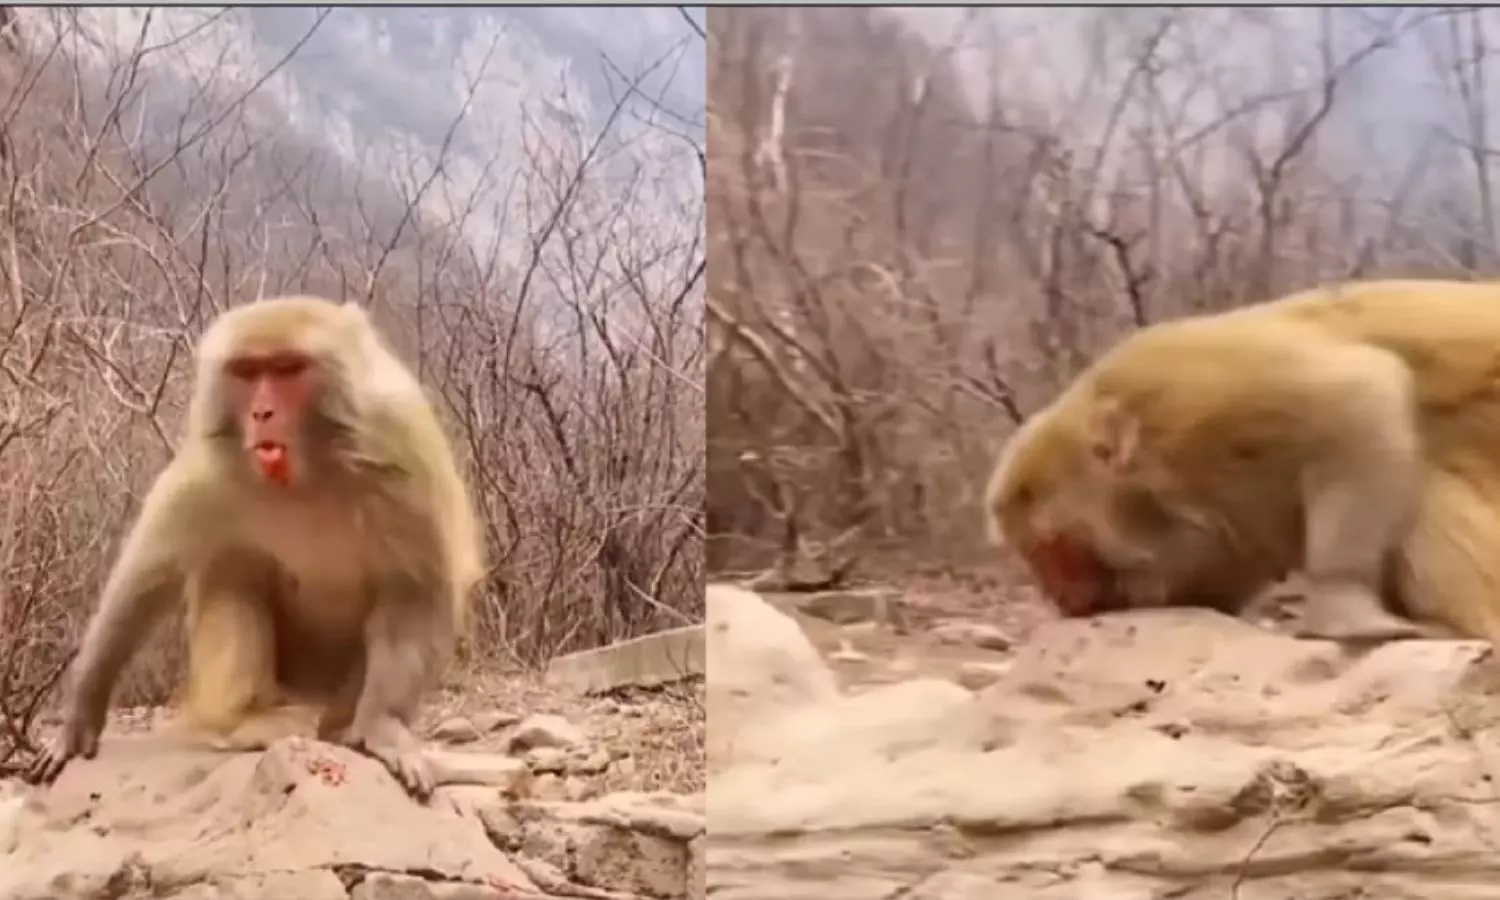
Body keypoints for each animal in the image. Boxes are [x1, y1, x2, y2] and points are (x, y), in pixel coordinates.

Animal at [24, 295, 486, 799]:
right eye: (248, 372)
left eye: (286, 369)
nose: (261, 413)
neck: (309, 469)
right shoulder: (212, 468)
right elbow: (147, 575)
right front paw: (78, 720)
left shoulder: (402, 448)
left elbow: (414, 588)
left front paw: (385, 728)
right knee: (231, 567)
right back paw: (246, 720)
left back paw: (345, 730)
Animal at [983, 278, 1500, 644]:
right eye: (1036, 557)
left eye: (1057, 552)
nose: (1061, 598)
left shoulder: (1192, 395)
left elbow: (1359, 396)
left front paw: (1343, 603)